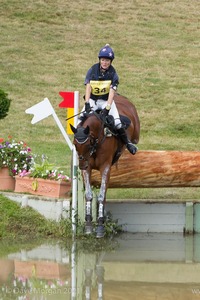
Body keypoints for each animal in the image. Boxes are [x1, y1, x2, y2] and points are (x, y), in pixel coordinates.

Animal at [71, 92, 140, 238]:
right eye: (75, 144)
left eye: (88, 143)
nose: (81, 165)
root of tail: (120, 96)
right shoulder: (88, 169)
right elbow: (88, 194)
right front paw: (88, 225)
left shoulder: (105, 167)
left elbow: (102, 196)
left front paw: (100, 226)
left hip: (135, 132)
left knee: (129, 135)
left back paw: (131, 146)